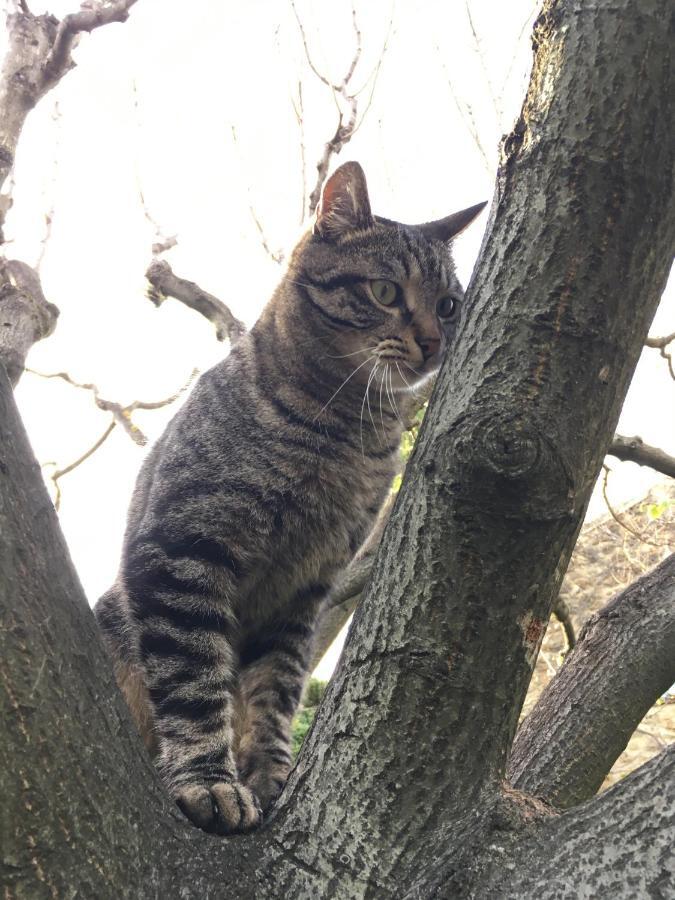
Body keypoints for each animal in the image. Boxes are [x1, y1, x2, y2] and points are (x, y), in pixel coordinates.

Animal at [95, 158, 486, 832]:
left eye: (449, 305)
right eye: (386, 292)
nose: (436, 341)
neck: (345, 433)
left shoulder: (304, 589)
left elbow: (275, 691)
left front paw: (270, 774)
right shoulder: (183, 551)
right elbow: (195, 682)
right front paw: (210, 779)